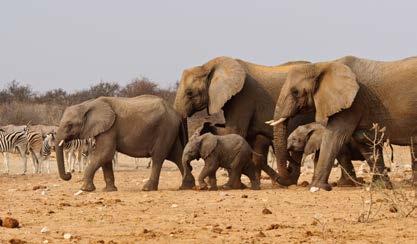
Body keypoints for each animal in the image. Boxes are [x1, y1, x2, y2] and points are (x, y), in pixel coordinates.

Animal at [54, 94, 195, 192]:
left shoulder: (110, 128)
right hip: (170, 131)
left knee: (158, 157)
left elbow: (104, 153)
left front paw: (85, 189)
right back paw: (187, 187)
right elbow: (105, 157)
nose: (69, 175)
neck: (87, 104)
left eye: (69, 125)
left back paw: (147, 188)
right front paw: (109, 190)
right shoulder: (106, 128)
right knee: (177, 156)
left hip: (165, 130)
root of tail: (177, 114)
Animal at [172, 56, 312, 186]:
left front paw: (235, 185)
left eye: (189, 93)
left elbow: (235, 132)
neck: (208, 66)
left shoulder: (243, 97)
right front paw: (251, 184)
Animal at [268, 56, 416, 192]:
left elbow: (335, 137)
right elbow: (364, 141)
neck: (322, 65)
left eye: (295, 92)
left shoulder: (353, 103)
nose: (288, 169)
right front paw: (381, 187)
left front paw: (317, 187)